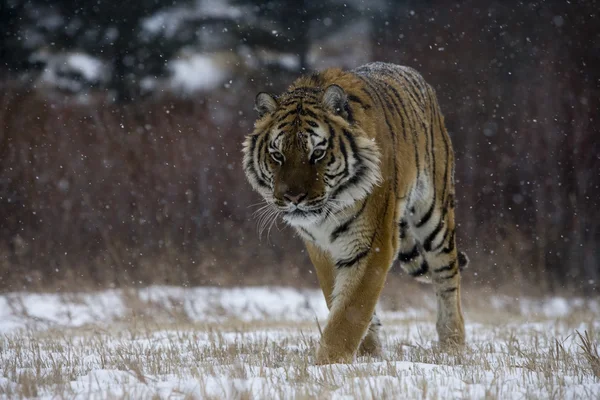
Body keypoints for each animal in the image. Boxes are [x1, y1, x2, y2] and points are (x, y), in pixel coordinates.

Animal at [241, 61, 466, 364]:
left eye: (317, 153)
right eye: (277, 155)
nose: (293, 197)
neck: (326, 215)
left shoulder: (372, 244)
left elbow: (351, 310)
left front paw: (329, 363)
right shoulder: (320, 247)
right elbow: (339, 299)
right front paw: (368, 352)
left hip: (434, 214)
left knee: (447, 276)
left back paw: (453, 342)